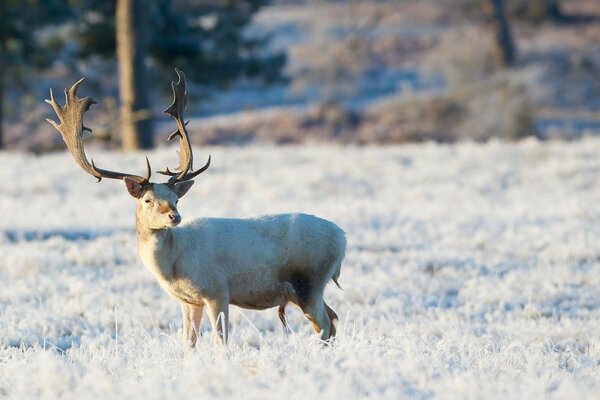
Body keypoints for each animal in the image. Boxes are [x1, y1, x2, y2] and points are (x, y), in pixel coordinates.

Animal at [45, 70, 346, 346]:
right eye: (147, 200)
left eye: (176, 199)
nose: (174, 216)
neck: (174, 265)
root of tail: (343, 238)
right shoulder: (189, 301)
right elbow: (188, 343)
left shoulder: (217, 290)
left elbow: (220, 340)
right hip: (306, 288)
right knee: (333, 318)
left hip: (308, 280)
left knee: (323, 324)